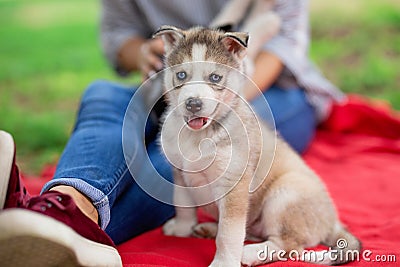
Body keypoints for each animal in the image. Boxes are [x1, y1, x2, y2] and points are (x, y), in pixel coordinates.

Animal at [155, 25, 360, 267]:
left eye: (215, 77)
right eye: (181, 75)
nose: (193, 104)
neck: (198, 135)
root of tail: (332, 222)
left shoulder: (234, 184)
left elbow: (229, 232)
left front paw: (224, 262)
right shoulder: (180, 174)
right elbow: (183, 205)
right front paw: (182, 229)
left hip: (285, 194)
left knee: (288, 247)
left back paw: (250, 253)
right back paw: (209, 229)